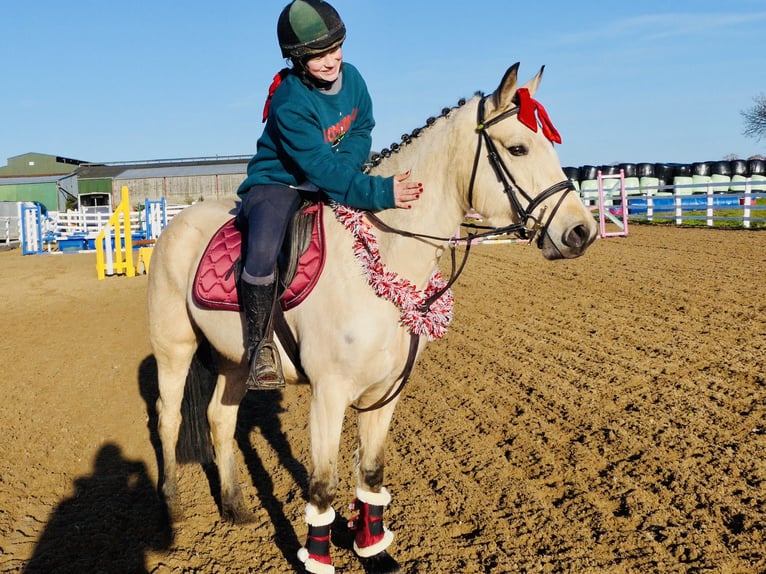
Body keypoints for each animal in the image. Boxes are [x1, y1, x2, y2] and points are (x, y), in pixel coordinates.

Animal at [147, 62, 598, 573]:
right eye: (518, 147)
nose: (581, 231)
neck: (382, 257)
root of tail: (177, 224)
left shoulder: (385, 393)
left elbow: (371, 474)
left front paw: (374, 551)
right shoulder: (329, 395)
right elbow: (323, 487)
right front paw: (318, 562)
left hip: (236, 361)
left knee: (220, 419)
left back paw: (235, 506)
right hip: (174, 349)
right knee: (168, 418)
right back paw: (172, 507)